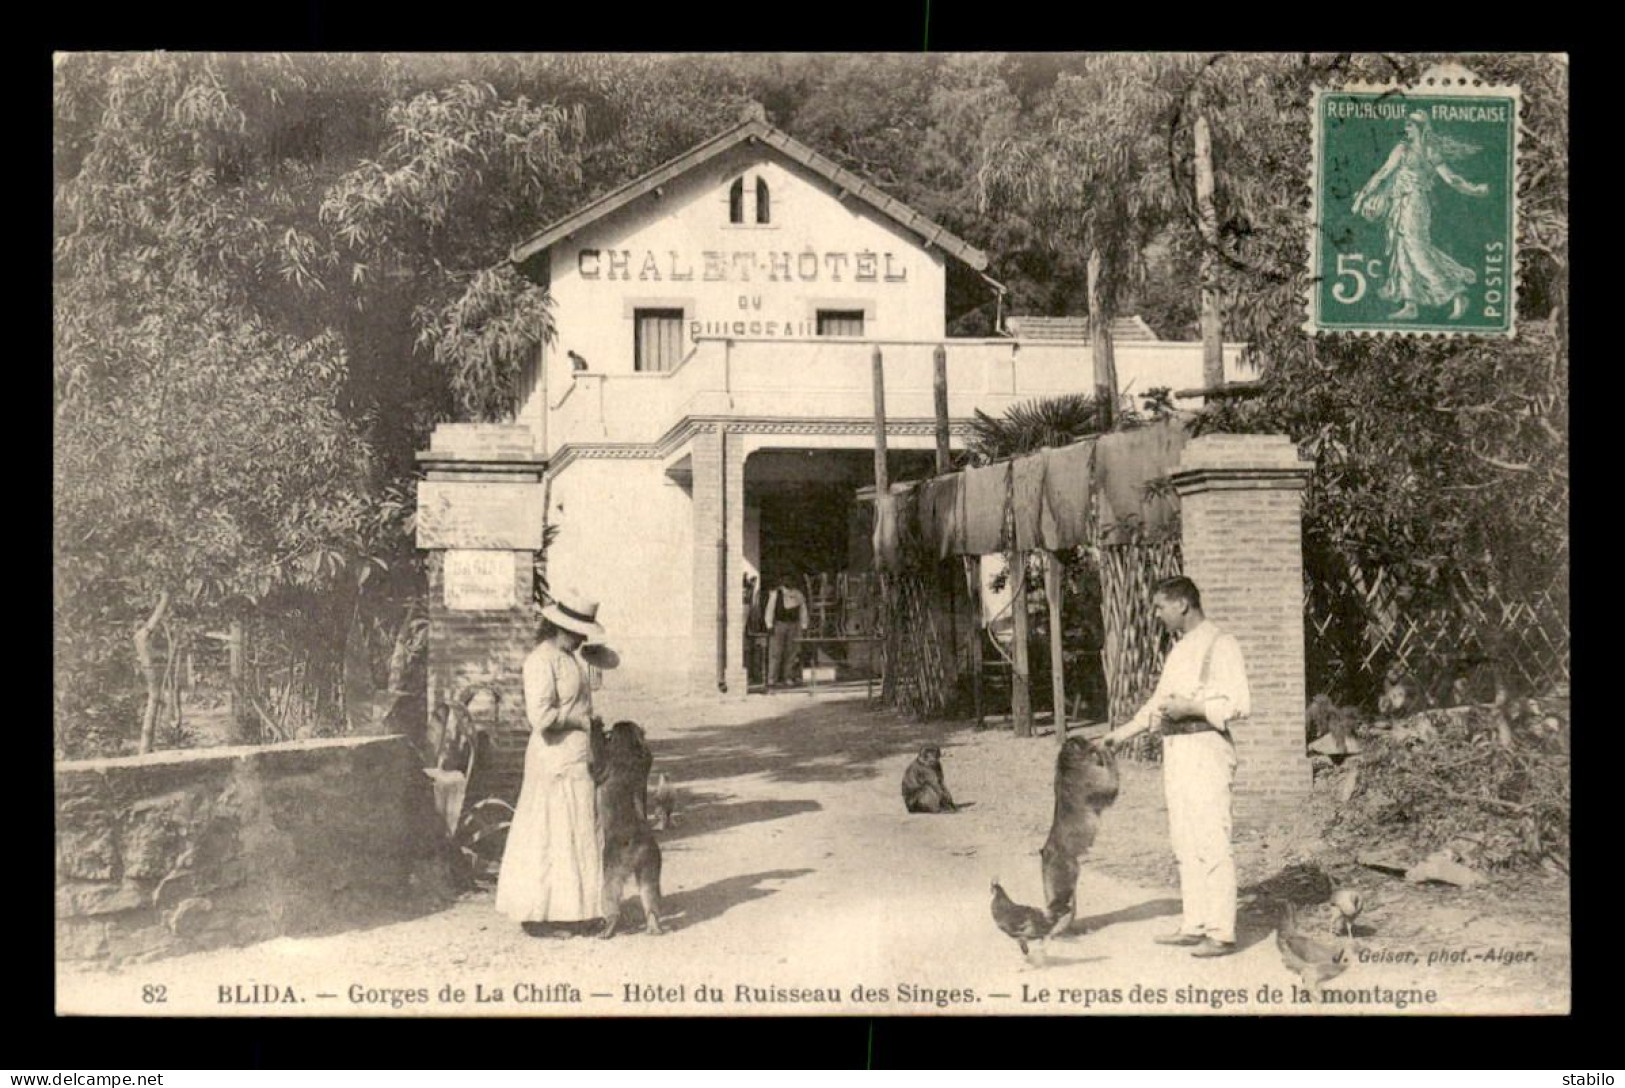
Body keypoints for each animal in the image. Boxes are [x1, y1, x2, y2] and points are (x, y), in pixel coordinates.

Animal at [601, 721, 663, 941]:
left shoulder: (609, 760)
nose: (607, 733)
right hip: (651, 860)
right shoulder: (645, 758)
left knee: (610, 888)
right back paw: (653, 923)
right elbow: (648, 756)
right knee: (649, 890)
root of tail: (639, 842)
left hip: (615, 860)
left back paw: (610, 924)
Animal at [1040, 737, 1118, 941]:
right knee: (1060, 909)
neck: (1068, 765)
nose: (1094, 740)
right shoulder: (1093, 778)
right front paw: (1106, 751)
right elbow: (1111, 786)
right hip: (1064, 878)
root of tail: (1047, 853)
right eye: (1084, 741)